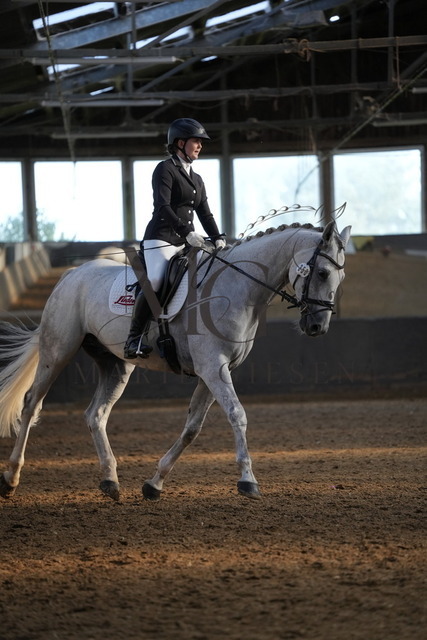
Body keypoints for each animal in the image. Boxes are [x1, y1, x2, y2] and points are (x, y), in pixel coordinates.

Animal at [0, 220, 351, 502]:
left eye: (340, 276)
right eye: (321, 272)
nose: (318, 327)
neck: (238, 287)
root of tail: (71, 275)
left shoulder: (214, 372)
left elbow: (192, 428)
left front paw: (154, 483)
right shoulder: (213, 368)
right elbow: (237, 415)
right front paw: (247, 481)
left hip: (116, 365)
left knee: (95, 414)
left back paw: (110, 481)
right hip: (58, 351)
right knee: (31, 404)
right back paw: (11, 478)